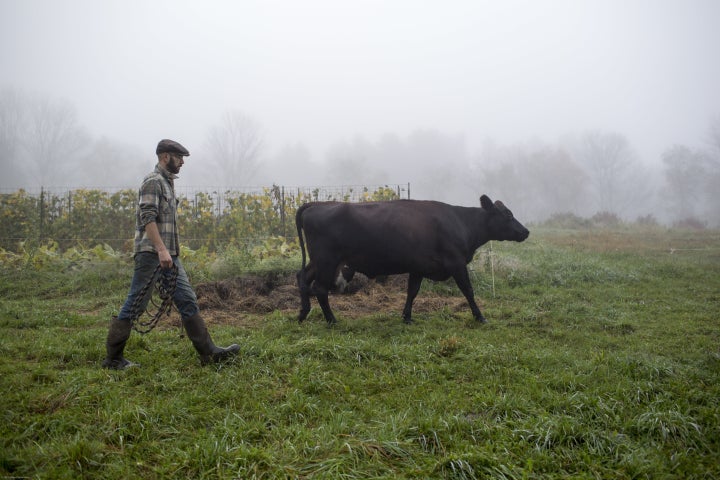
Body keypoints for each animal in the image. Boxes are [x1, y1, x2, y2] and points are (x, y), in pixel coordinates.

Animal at [294, 195, 528, 326]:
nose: (525, 231)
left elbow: (412, 292)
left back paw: (302, 314)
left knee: (302, 278)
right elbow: (468, 291)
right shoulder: (457, 263)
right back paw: (331, 320)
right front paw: (480, 317)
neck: (461, 222)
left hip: (318, 261)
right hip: (327, 260)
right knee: (319, 288)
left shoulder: (418, 267)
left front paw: (406, 317)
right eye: (508, 215)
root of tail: (317, 204)